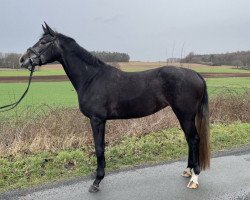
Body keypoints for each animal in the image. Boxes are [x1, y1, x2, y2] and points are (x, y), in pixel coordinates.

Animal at [19, 23, 210, 192]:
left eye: (43, 42)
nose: (23, 60)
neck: (91, 78)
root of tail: (196, 74)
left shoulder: (97, 120)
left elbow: (99, 148)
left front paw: (96, 182)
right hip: (183, 115)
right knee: (189, 139)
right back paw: (187, 171)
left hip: (185, 115)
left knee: (194, 139)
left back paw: (194, 178)